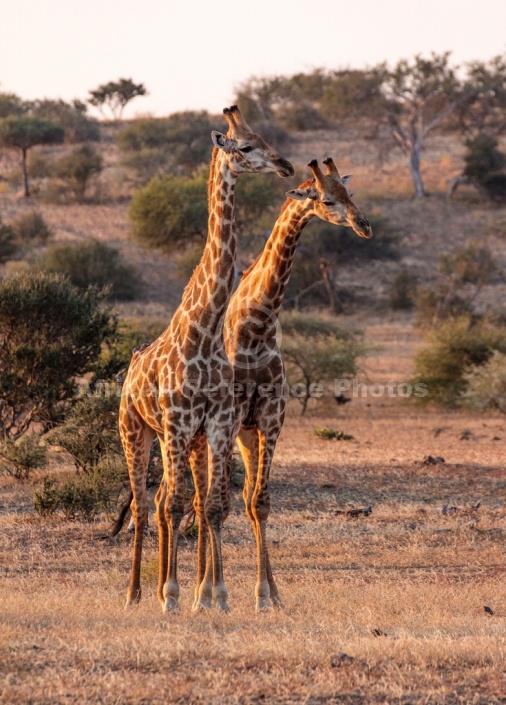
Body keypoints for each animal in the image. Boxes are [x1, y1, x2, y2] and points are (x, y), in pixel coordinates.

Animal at [118, 104, 292, 612]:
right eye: (247, 146)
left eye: (265, 138)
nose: (286, 166)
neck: (206, 328)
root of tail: (129, 370)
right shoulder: (179, 422)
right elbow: (178, 505)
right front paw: (175, 597)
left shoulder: (214, 423)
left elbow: (212, 506)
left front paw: (215, 596)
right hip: (135, 432)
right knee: (143, 504)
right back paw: (136, 593)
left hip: (172, 439)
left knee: (162, 502)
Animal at [184, 157, 374, 608]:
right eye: (326, 199)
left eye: (350, 192)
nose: (364, 225)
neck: (257, 326)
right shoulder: (231, 418)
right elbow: (219, 503)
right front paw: (214, 593)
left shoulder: (270, 419)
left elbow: (260, 503)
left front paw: (267, 594)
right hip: (212, 435)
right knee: (201, 501)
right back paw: (199, 590)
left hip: (248, 435)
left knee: (239, 500)